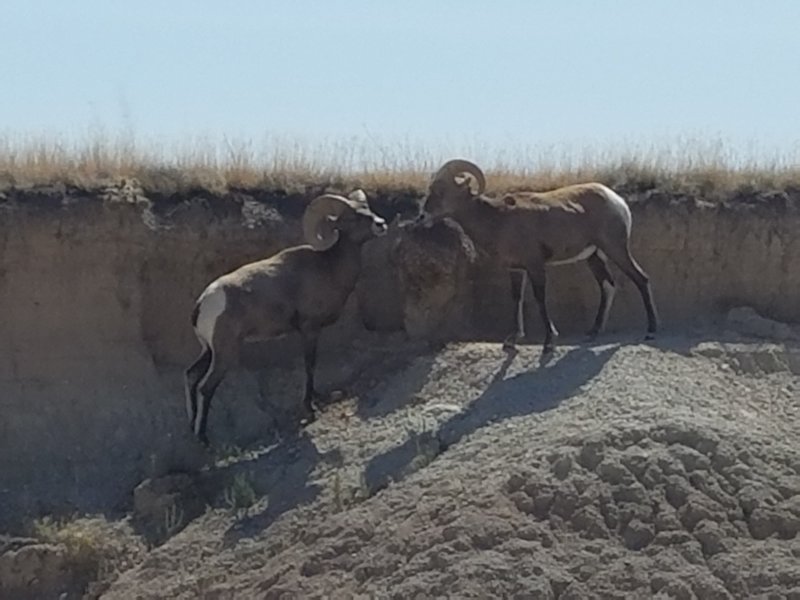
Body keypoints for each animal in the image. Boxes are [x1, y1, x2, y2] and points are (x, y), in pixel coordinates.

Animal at [188, 189, 388, 446]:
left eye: (368, 209)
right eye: (353, 217)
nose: (381, 224)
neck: (329, 268)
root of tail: (203, 303)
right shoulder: (309, 330)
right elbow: (309, 365)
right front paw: (310, 408)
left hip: (208, 351)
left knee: (191, 376)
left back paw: (192, 428)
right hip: (225, 354)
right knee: (205, 387)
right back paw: (203, 438)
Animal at [418, 159, 656, 352]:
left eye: (441, 190)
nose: (422, 216)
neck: (499, 220)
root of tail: (617, 201)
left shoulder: (535, 266)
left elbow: (540, 298)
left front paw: (549, 342)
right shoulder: (516, 269)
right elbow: (517, 298)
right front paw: (512, 340)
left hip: (615, 248)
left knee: (641, 278)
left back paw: (651, 331)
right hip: (594, 256)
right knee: (608, 286)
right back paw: (593, 332)